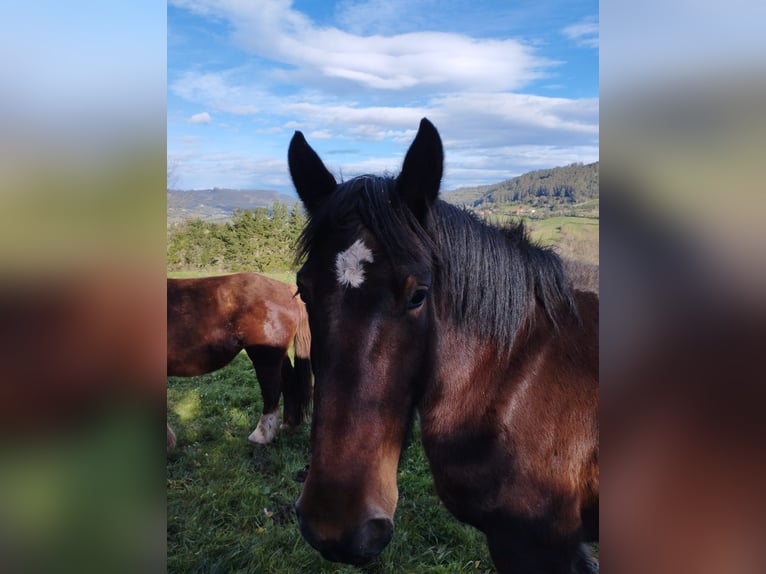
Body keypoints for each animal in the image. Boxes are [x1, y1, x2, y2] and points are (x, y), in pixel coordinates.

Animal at [166, 272, 311, 448]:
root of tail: (285, 288)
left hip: (266, 358)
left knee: (272, 390)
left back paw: (261, 436)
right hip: (278, 356)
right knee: (289, 383)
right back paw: (289, 425)